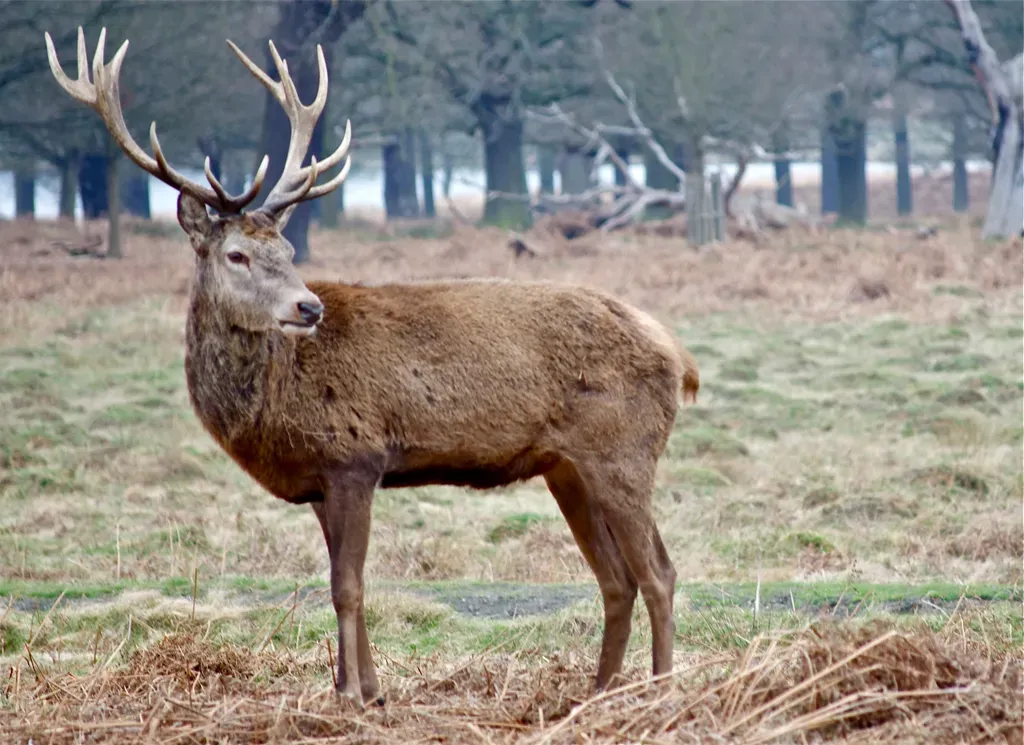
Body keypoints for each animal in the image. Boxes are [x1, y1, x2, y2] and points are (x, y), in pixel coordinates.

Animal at [45, 27, 700, 706]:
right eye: (237, 255)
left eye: (287, 248)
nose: (309, 306)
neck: (272, 405)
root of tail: (678, 356)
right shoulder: (318, 480)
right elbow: (337, 579)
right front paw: (363, 689)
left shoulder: (355, 457)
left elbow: (348, 587)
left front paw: (355, 696)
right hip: (565, 467)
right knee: (617, 578)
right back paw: (598, 692)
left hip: (621, 452)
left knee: (659, 572)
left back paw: (661, 690)